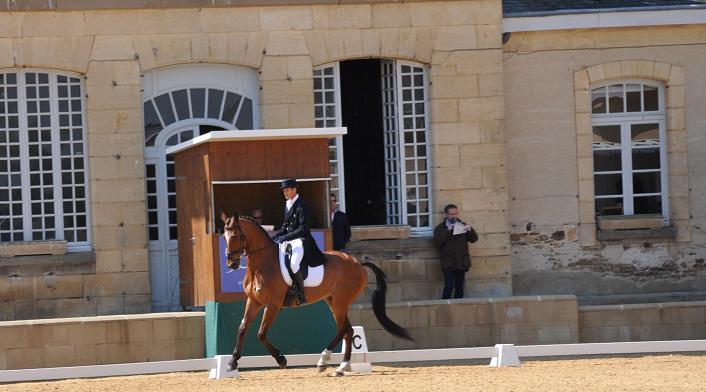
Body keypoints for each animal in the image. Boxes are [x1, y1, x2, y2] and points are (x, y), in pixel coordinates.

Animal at [220, 213, 412, 376]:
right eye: (224, 237)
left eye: (235, 235)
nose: (231, 263)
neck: (262, 264)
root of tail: (357, 262)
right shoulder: (253, 301)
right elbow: (242, 328)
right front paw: (232, 363)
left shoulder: (273, 305)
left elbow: (261, 333)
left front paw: (281, 359)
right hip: (333, 301)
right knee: (348, 330)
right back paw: (342, 367)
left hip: (340, 301)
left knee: (342, 329)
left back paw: (324, 360)